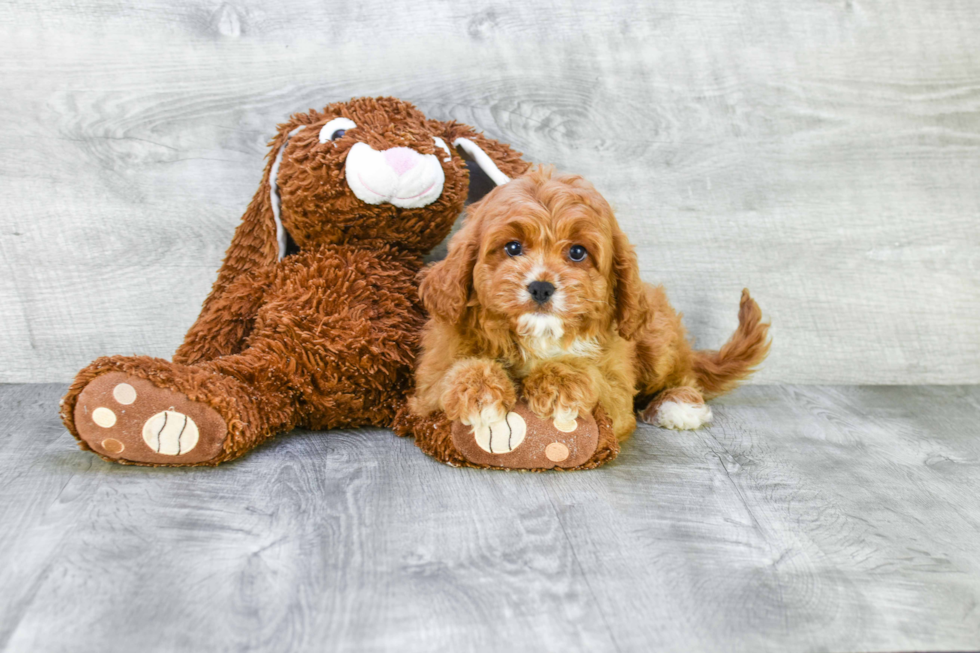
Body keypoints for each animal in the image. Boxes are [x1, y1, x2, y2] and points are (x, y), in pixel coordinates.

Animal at [410, 166, 768, 440]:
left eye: (577, 252)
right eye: (512, 248)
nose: (541, 288)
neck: (540, 336)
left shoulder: (618, 391)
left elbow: (598, 381)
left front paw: (560, 384)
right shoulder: (426, 386)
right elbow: (444, 380)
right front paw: (478, 390)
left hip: (656, 341)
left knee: (683, 375)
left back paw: (679, 404)